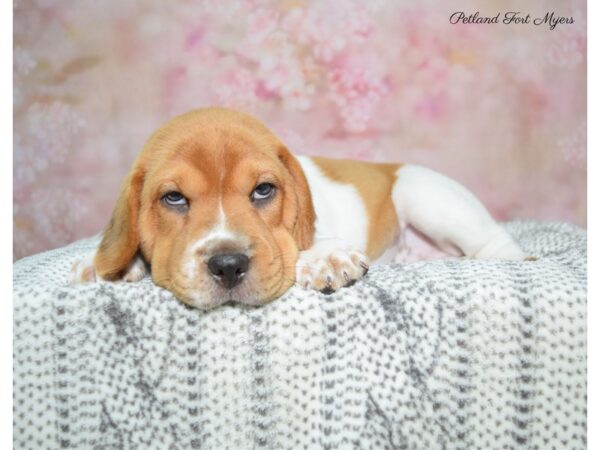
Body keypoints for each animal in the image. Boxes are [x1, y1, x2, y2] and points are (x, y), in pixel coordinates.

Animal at [71, 107, 524, 308]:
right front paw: (109, 263)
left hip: (425, 196)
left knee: (503, 249)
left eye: (263, 191)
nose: (228, 265)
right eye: (174, 198)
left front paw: (325, 257)